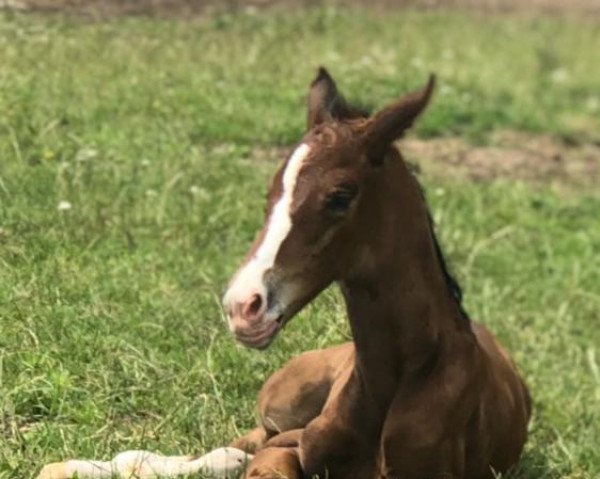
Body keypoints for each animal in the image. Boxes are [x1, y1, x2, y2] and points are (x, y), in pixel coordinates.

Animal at [224, 70, 528, 479]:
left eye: (340, 196)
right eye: (271, 193)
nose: (242, 307)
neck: (395, 378)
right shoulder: (289, 446)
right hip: (283, 402)